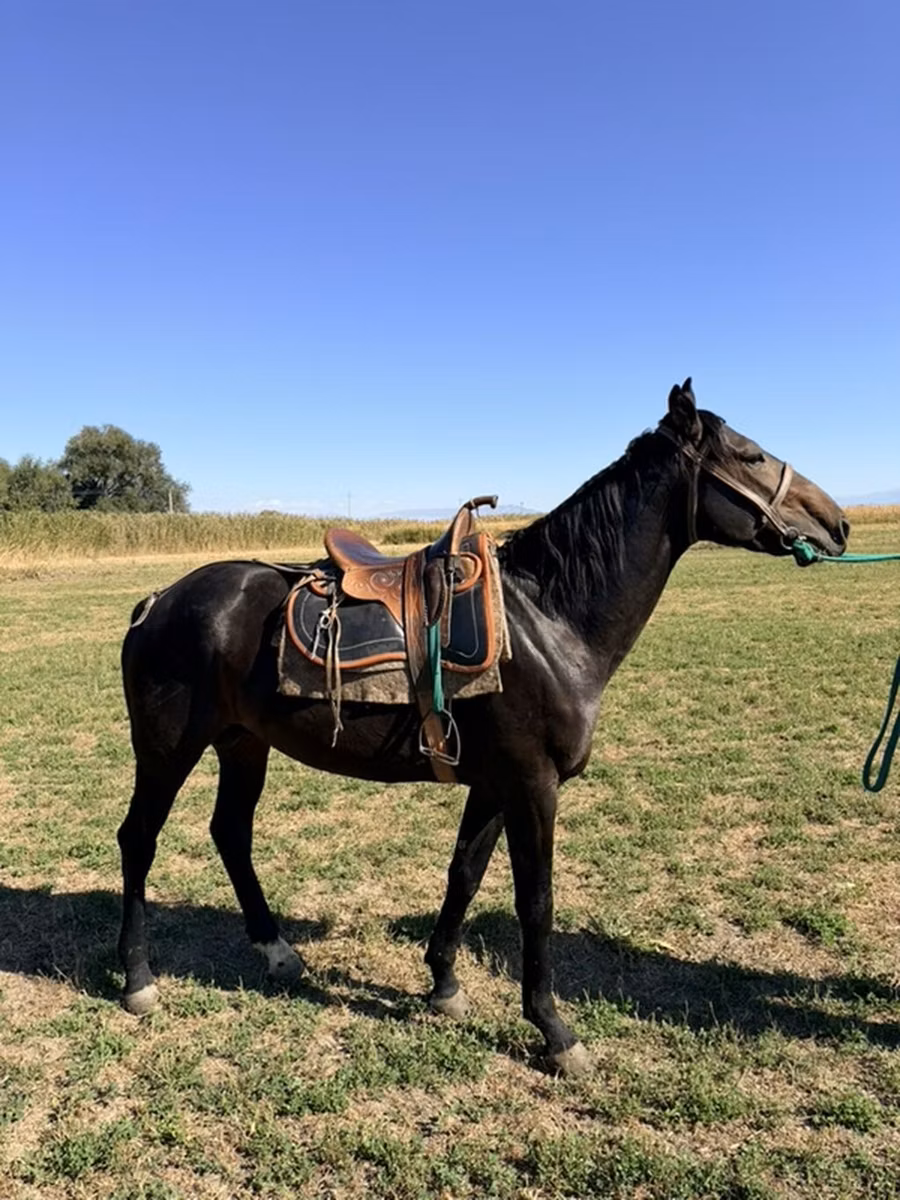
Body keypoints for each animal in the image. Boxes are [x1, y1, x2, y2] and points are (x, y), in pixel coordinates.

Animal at [116, 379, 848, 1075]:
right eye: (750, 455)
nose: (838, 523)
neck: (549, 622)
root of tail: (158, 602)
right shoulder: (533, 785)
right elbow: (536, 902)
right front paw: (555, 1032)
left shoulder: (495, 783)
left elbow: (463, 874)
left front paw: (443, 985)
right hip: (168, 750)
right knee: (139, 840)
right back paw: (138, 979)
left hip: (244, 744)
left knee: (230, 834)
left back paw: (277, 953)